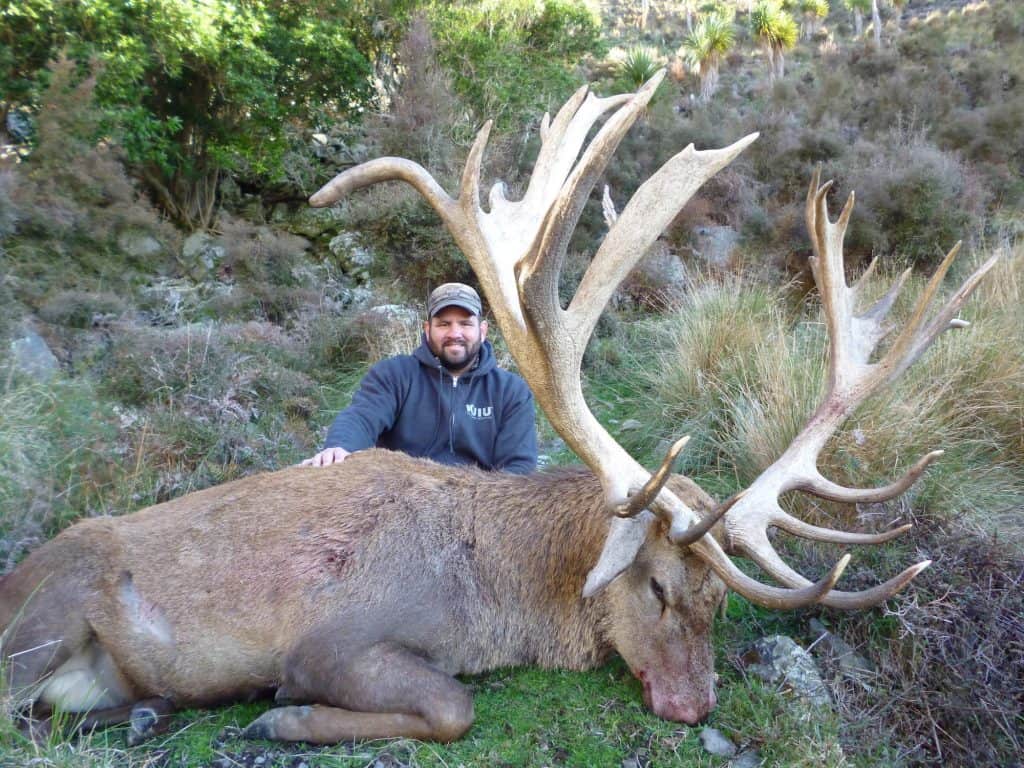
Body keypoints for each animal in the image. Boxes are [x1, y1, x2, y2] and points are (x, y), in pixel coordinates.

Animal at [0, 72, 996, 745]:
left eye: (719, 599)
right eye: (658, 587)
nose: (693, 706)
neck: (492, 597)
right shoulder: (331, 635)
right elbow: (450, 705)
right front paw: (280, 718)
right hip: (38, 625)